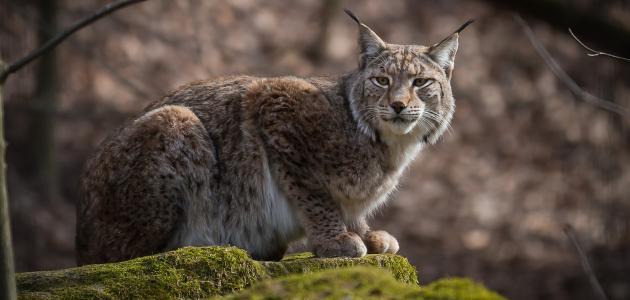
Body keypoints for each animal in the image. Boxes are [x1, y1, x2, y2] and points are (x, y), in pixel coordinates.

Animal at [76, 9, 472, 264]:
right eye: (381, 80)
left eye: (421, 82)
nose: (398, 105)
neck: (387, 143)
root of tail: (79, 237)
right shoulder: (272, 99)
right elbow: (313, 194)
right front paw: (335, 240)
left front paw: (365, 233)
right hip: (177, 119)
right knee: (116, 259)